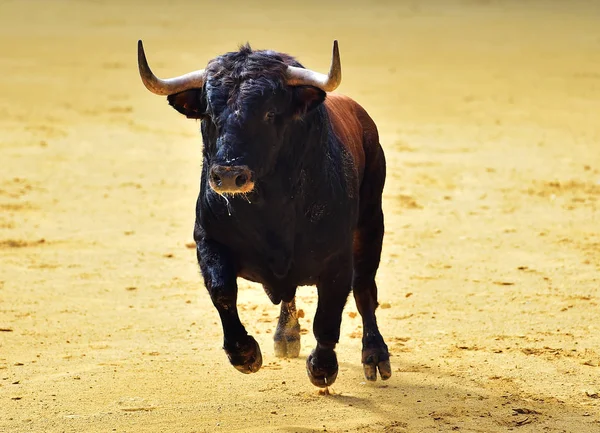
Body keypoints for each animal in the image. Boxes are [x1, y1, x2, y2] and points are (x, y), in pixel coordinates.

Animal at [137, 39, 392, 384]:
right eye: (209, 114)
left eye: (270, 113)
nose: (229, 175)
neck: (269, 211)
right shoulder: (208, 241)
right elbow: (222, 291)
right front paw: (244, 354)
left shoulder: (337, 256)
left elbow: (329, 312)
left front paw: (323, 367)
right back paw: (286, 337)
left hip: (370, 223)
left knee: (365, 288)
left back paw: (375, 356)